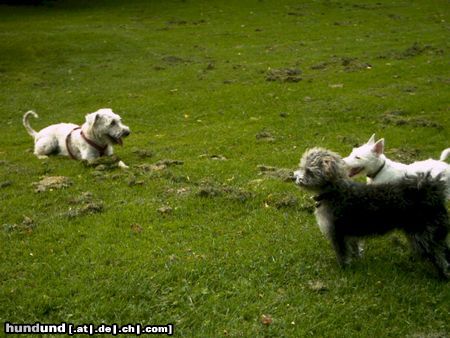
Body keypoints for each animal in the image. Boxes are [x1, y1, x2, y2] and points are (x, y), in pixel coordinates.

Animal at [294, 147, 448, 278]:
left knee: (441, 256)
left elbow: (342, 254)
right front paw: (357, 260)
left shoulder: (337, 234)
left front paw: (343, 269)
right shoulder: (350, 234)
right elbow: (355, 248)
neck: (334, 192)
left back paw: (442, 276)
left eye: (308, 171)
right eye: (302, 167)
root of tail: (431, 191)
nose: (295, 177)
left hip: (425, 236)